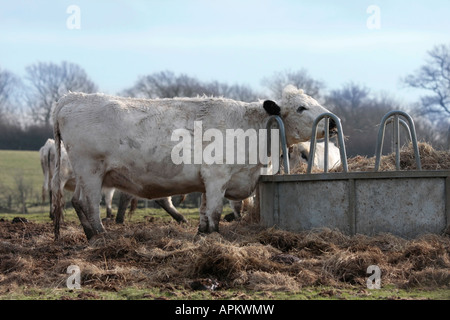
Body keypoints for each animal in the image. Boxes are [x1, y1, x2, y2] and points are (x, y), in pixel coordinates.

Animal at [51, 85, 334, 240]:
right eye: (301, 108)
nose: (331, 121)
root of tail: (71, 97)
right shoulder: (218, 177)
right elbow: (216, 213)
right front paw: (216, 239)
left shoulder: (208, 182)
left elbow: (205, 212)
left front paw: (202, 235)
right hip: (91, 171)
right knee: (89, 204)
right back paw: (101, 236)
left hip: (85, 173)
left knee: (77, 201)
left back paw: (90, 236)